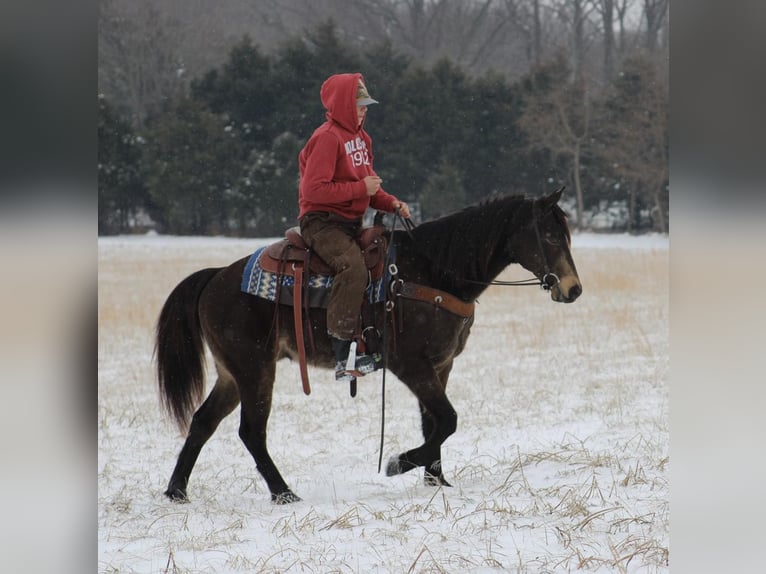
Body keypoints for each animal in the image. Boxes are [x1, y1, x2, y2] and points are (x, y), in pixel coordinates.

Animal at [159, 188, 584, 504]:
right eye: (549, 236)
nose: (573, 289)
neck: (432, 272)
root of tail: (215, 277)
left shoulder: (440, 365)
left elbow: (433, 423)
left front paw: (436, 482)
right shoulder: (410, 365)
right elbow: (448, 420)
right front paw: (398, 463)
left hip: (232, 373)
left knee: (203, 422)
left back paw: (177, 491)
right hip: (255, 370)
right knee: (251, 432)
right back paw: (283, 493)